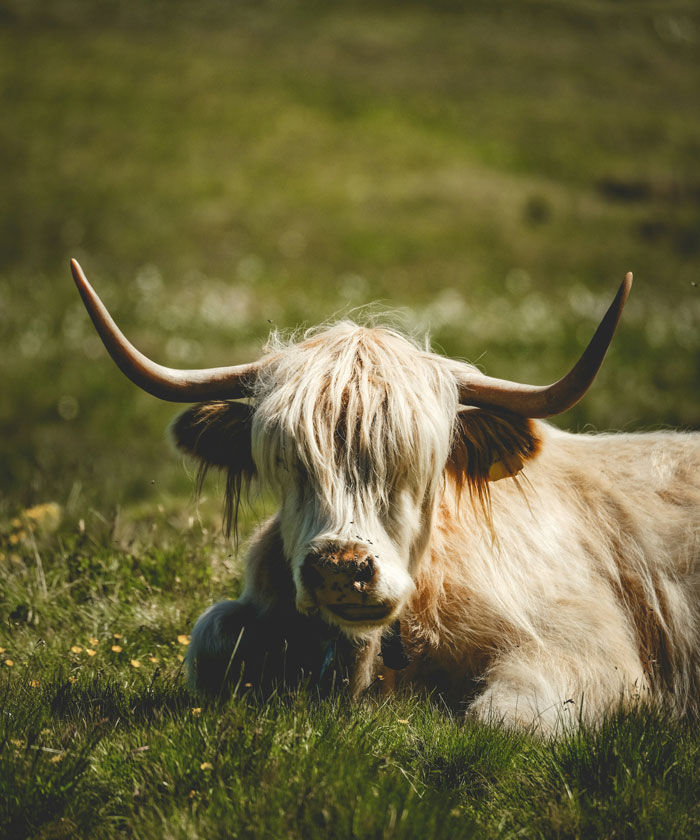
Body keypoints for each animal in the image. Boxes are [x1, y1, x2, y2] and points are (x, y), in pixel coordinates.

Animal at [71, 259, 700, 733]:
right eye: (289, 465)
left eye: (414, 466)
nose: (339, 567)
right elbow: (211, 639)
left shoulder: (590, 646)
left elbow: (504, 719)